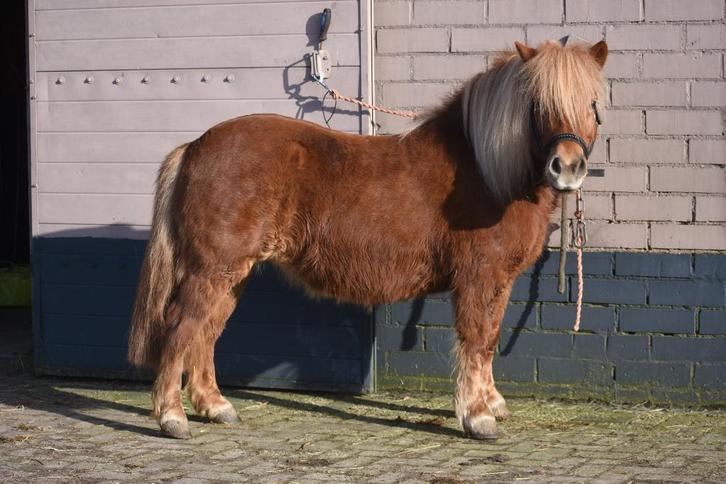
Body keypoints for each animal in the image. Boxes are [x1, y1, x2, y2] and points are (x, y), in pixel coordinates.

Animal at [128, 39, 608, 440]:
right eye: (538, 104)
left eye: (591, 103)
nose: (567, 168)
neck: (487, 171)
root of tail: (195, 146)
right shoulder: (478, 278)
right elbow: (475, 341)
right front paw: (477, 417)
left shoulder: (500, 282)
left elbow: (489, 340)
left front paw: (492, 404)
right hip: (211, 270)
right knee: (181, 329)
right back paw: (172, 417)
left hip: (232, 275)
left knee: (206, 333)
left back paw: (216, 407)